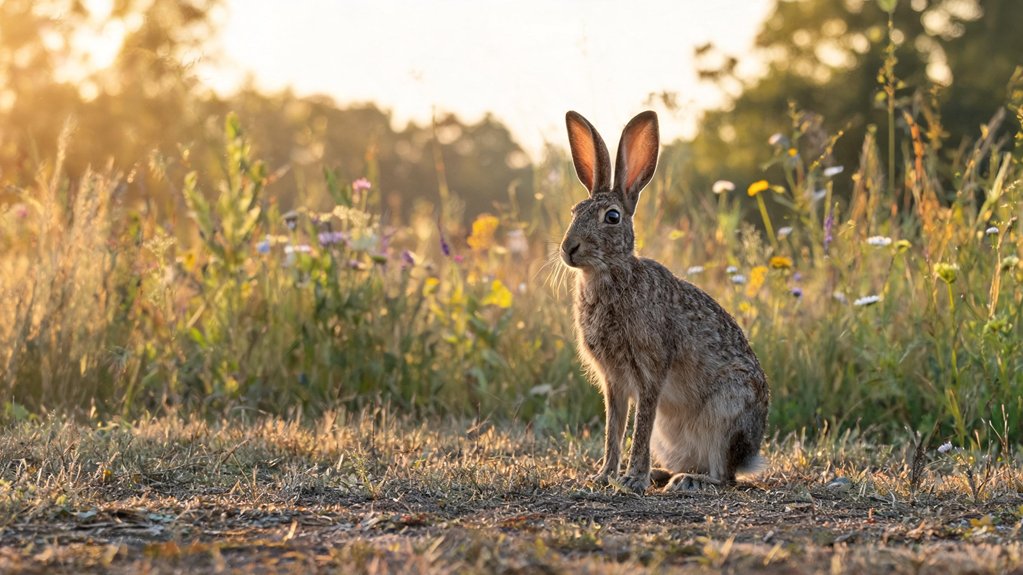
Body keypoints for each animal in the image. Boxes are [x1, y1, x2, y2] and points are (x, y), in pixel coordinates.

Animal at [559, 110, 770, 494]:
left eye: (612, 217)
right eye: (574, 210)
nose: (569, 248)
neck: (611, 274)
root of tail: (750, 453)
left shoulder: (650, 370)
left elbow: (638, 425)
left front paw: (631, 479)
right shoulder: (613, 381)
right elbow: (614, 429)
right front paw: (603, 476)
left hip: (726, 412)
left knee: (724, 476)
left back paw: (687, 482)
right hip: (671, 435)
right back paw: (662, 474)